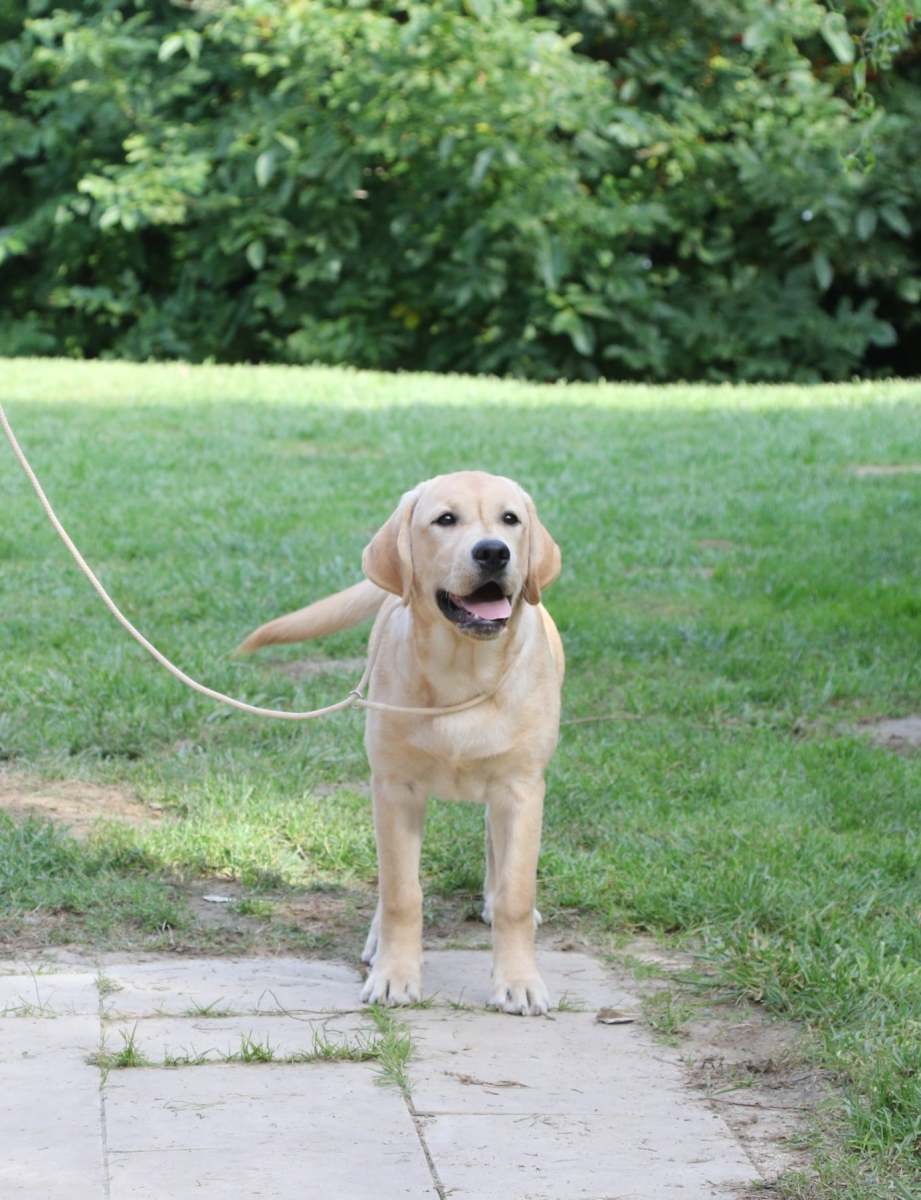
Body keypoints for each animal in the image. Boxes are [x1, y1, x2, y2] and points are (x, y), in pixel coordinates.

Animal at [238, 471, 564, 1015]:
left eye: (510, 519)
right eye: (445, 519)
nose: (493, 552)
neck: (463, 676)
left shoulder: (520, 788)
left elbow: (516, 892)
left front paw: (518, 979)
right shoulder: (395, 788)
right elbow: (401, 892)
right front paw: (394, 975)